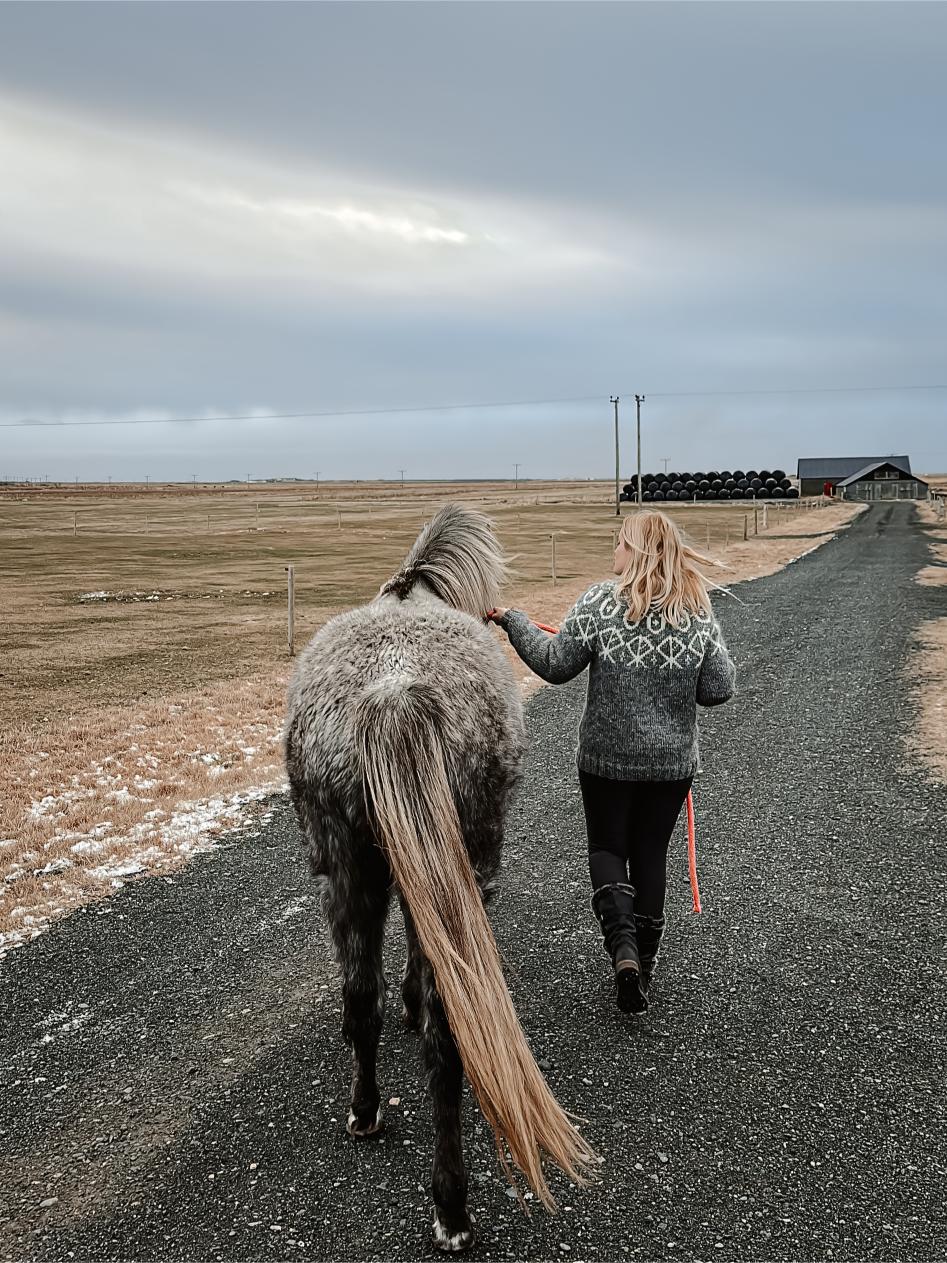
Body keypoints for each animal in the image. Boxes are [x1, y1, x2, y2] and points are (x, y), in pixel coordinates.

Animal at [284, 505, 601, 1252]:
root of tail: (393, 692)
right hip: (466, 862)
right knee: (446, 1036)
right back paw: (451, 1208)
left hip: (345, 870)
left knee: (359, 999)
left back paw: (365, 1112)